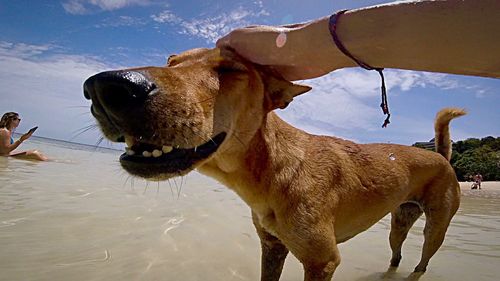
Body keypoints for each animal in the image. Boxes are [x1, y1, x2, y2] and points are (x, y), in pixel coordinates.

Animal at [83, 48, 464, 280]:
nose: (104, 87)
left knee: (423, 260)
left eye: (229, 68)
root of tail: (440, 156)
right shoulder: (271, 246)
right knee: (397, 253)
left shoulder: (321, 261)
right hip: (399, 222)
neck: (269, 173)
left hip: (436, 228)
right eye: (171, 61)